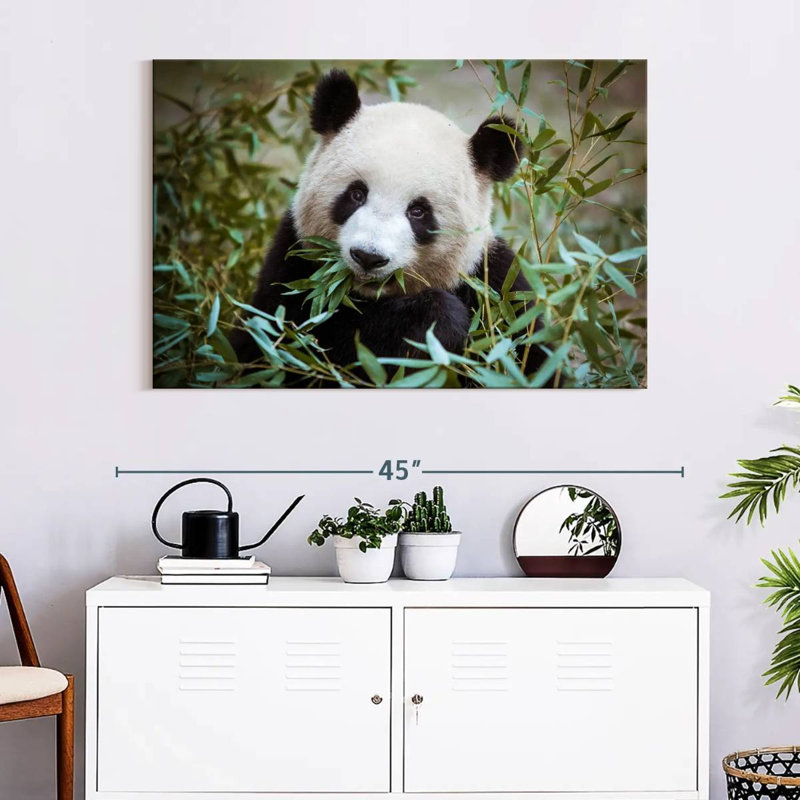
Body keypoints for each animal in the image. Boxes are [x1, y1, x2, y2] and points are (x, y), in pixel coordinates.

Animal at [233, 69, 546, 379]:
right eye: (356, 194)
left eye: (418, 211)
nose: (368, 257)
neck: (370, 296)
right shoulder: (294, 267)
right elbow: (292, 346)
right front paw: (437, 322)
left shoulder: (498, 286)